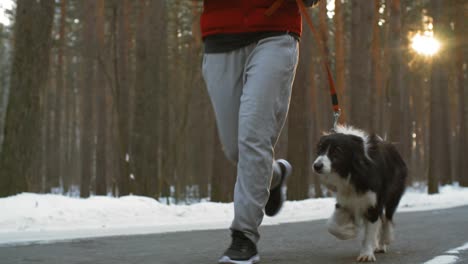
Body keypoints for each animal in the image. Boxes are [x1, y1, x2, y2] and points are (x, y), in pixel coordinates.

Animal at [314, 126, 406, 262]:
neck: (352, 172)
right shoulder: (344, 200)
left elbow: (370, 230)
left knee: (388, 216)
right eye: (320, 149)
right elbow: (331, 226)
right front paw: (350, 231)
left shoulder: (372, 204)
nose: (317, 166)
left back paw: (385, 239)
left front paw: (366, 254)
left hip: (393, 192)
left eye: (337, 151)